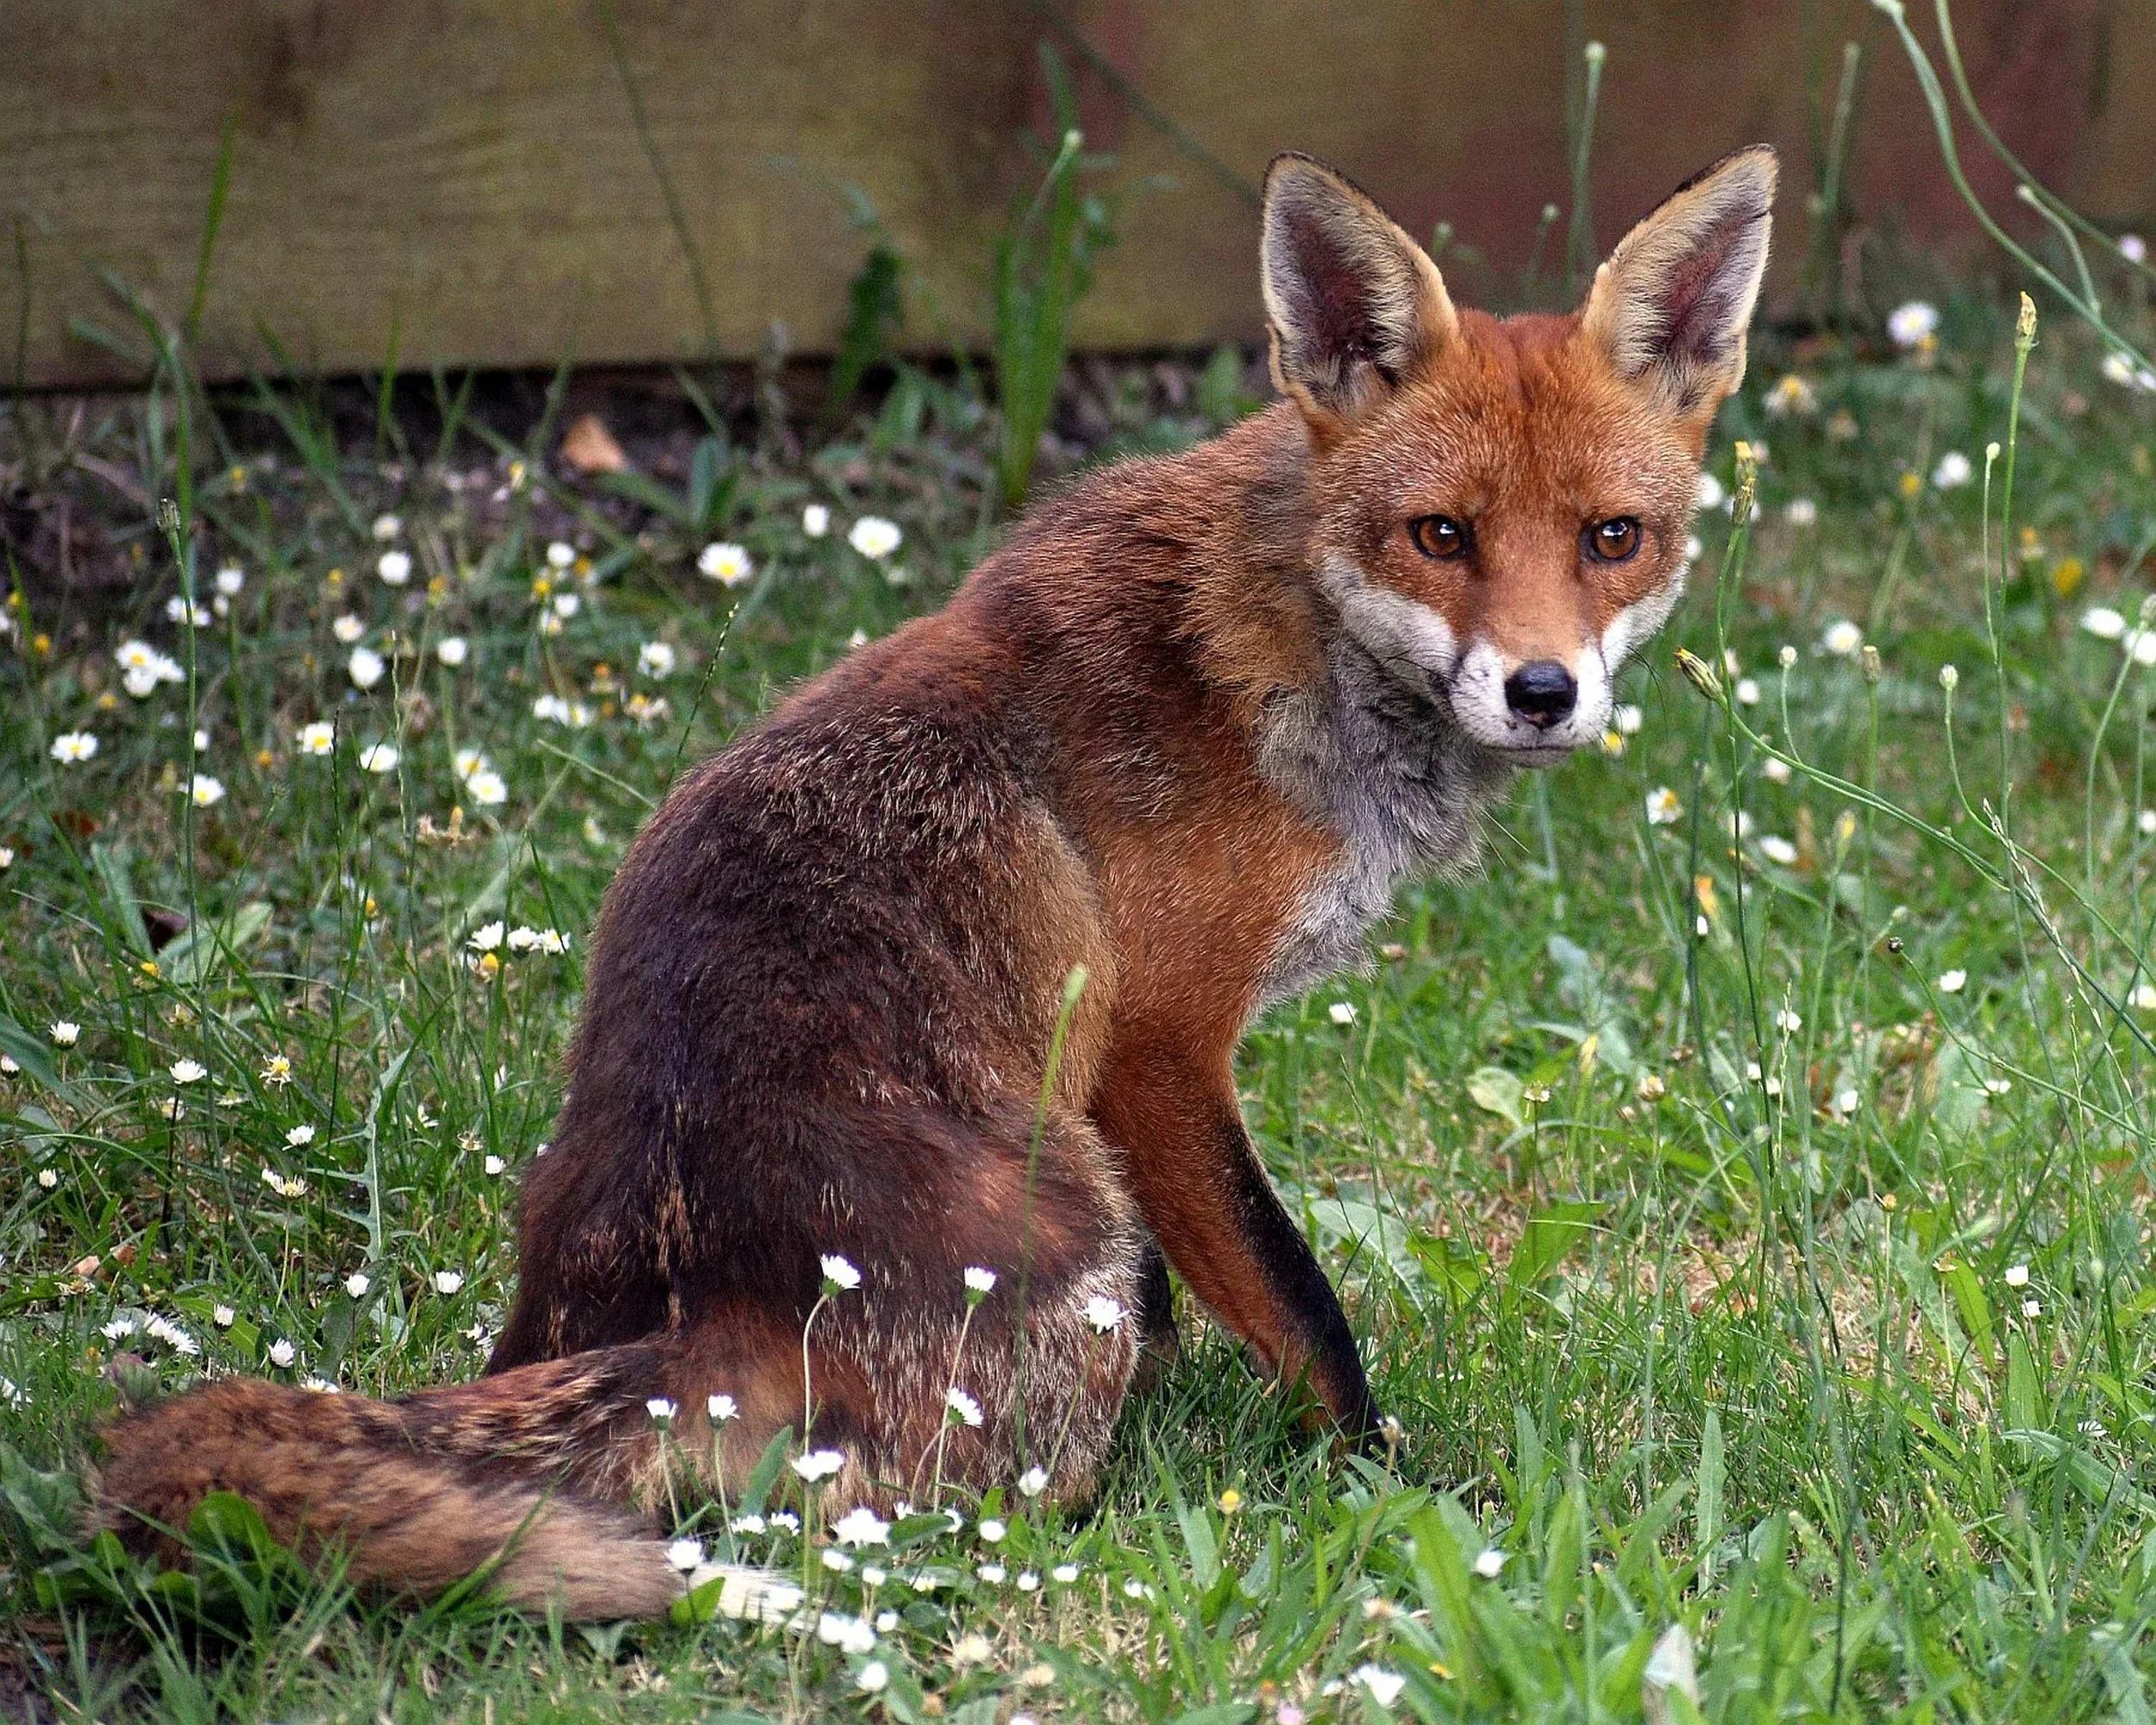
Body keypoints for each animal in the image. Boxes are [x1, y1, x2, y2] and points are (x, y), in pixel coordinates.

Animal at [93, 145, 1775, 1618]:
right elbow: (1302, 1305)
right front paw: (1395, 1496)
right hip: (1072, 1225)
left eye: (1612, 539)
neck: (1291, 659)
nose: (1545, 691)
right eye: (1441, 535)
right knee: (905, 1505)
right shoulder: (1157, 1045)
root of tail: (699, 1291)